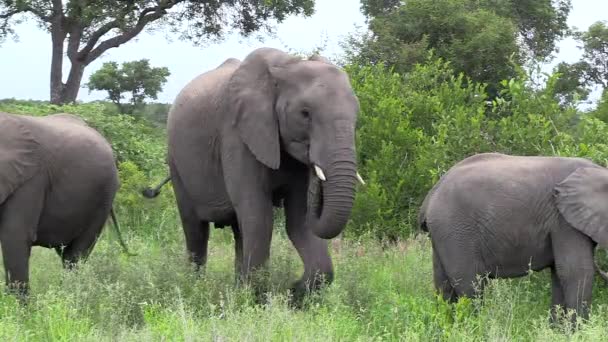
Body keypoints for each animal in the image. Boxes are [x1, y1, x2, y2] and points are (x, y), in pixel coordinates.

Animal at [143, 48, 366, 296]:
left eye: (357, 114)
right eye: (305, 113)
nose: (316, 170)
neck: (287, 66)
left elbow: (298, 220)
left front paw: (292, 293)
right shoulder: (237, 135)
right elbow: (259, 216)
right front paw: (259, 298)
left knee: (239, 231)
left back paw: (236, 288)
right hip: (176, 162)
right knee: (195, 229)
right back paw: (194, 287)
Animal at [418, 154, 608, 322]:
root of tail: (430, 196)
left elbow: (560, 273)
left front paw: (557, 332)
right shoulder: (564, 221)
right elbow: (576, 271)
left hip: (444, 232)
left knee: (443, 285)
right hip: (455, 228)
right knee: (470, 284)